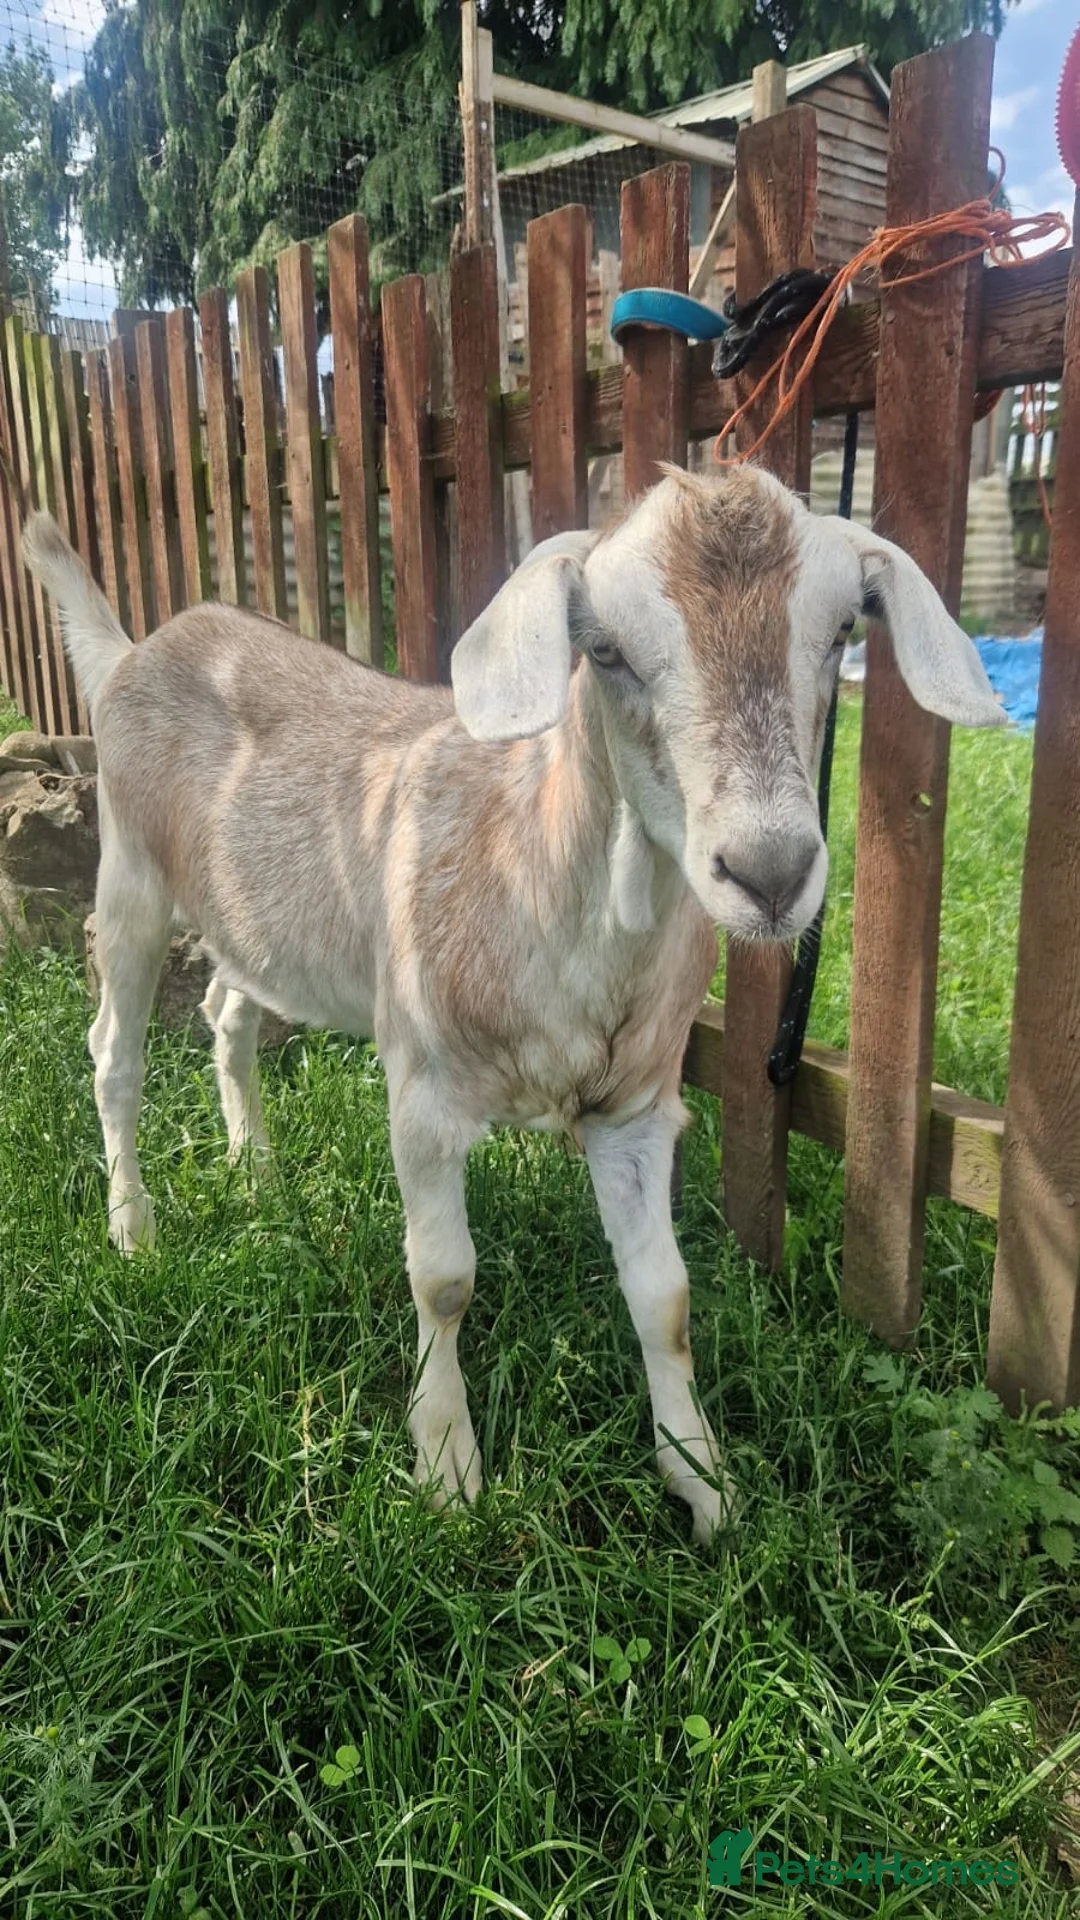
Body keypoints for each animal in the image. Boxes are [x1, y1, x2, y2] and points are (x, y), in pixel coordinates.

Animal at [22, 465, 1002, 1542]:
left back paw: (256, 1169)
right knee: (113, 1055)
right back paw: (134, 1229)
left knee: (228, 1017)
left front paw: (701, 1479)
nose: (770, 872)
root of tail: (132, 653)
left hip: (255, 920)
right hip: (128, 875)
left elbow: (666, 1295)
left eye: (839, 633)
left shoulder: (636, 1108)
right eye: (604, 648)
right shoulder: (423, 1092)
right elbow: (443, 1279)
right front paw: (448, 1468)